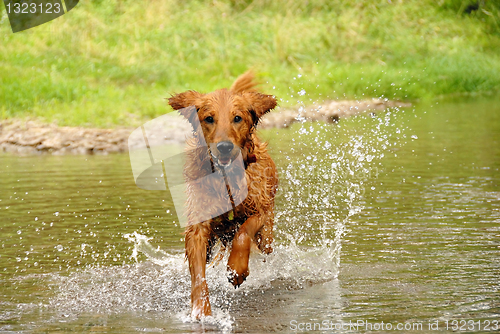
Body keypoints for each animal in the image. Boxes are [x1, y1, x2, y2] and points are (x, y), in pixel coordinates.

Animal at [167, 72, 278, 318]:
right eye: (209, 118)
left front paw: (237, 269)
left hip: (266, 236)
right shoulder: (198, 227)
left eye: (237, 118)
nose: (224, 147)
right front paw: (201, 310)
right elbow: (198, 274)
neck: (225, 179)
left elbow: (244, 232)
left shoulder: (260, 210)